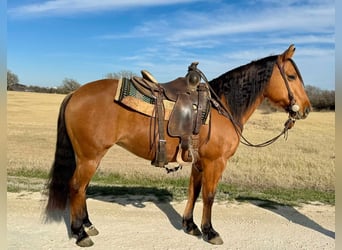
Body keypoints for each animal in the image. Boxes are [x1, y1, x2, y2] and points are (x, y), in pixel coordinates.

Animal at [44, 44, 310, 246]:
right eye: (292, 76)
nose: (306, 109)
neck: (222, 107)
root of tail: (74, 93)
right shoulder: (216, 162)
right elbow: (209, 195)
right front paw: (210, 231)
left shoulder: (199, 163)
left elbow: (194, 191)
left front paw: (190, 226)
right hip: (90, 156)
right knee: (76, 187)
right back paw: (80, 233)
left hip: (89, 157)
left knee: (83, 189)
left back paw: (88, 225)